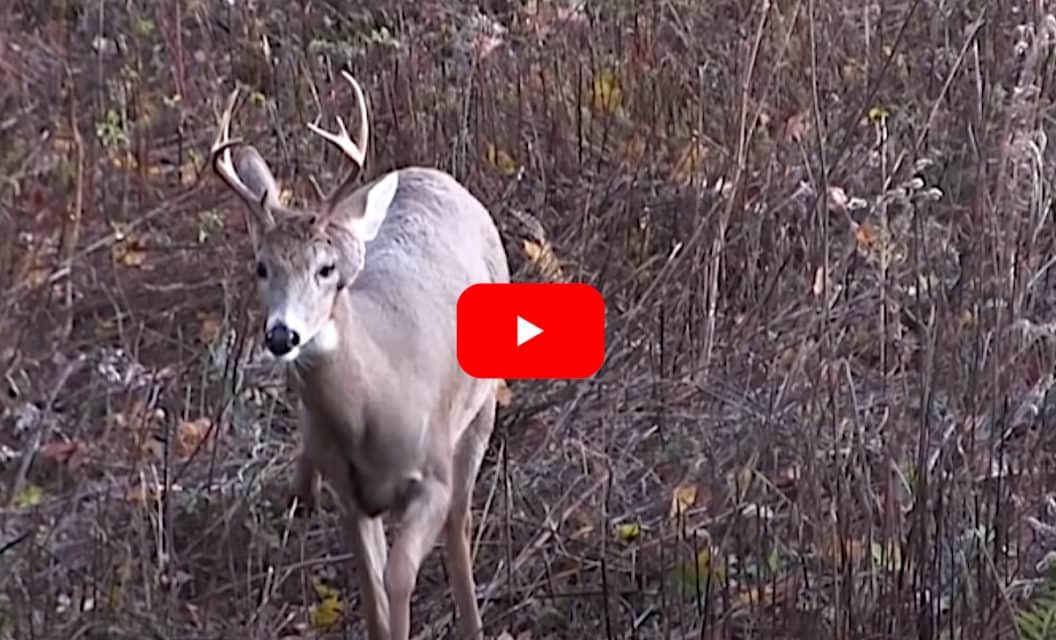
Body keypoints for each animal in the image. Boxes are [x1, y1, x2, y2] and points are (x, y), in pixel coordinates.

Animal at [208, 70, 510, 640]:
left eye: (326, 268)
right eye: (261, 266)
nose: (282, 336)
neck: (373, 407)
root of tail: (433, 174)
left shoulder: (431, 474)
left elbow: (398, 579)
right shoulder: (351, 498)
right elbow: (373, 594)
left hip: (480, 409)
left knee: (459, 521)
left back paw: (473, 624)